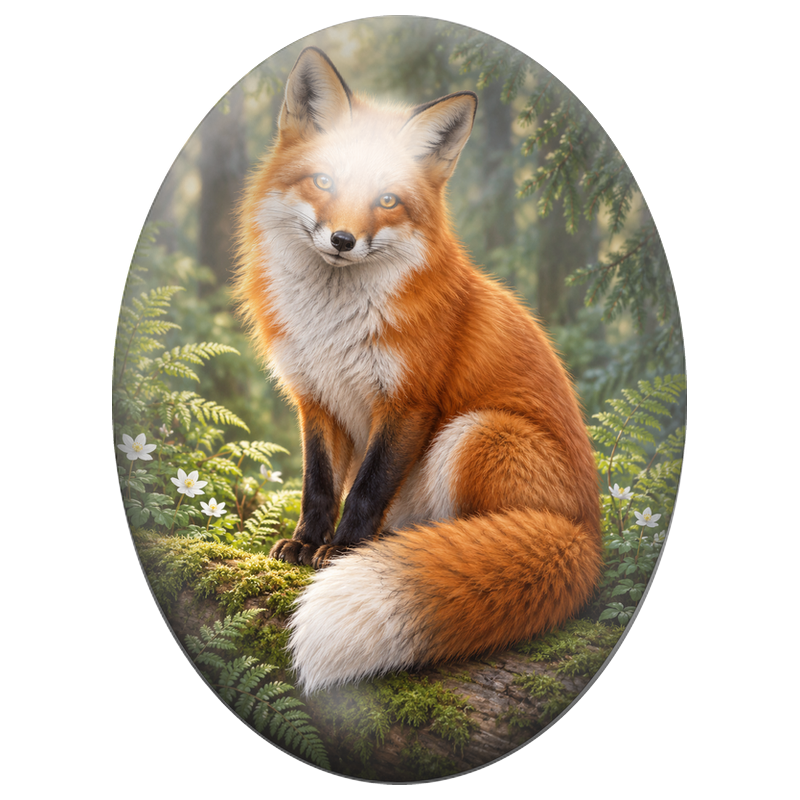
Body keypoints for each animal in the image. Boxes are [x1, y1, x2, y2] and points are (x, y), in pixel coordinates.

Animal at [233, 47, 603, 693]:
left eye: (387, 199)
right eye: (324, 181)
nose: (342, 239)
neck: (333, 324)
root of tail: (586, 538)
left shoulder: (409, 402)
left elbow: (365, 490)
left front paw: (342, 555)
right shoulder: (317, 397)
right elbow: (319, 485)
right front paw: (306, 545)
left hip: (476, 432)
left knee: (475, 536)